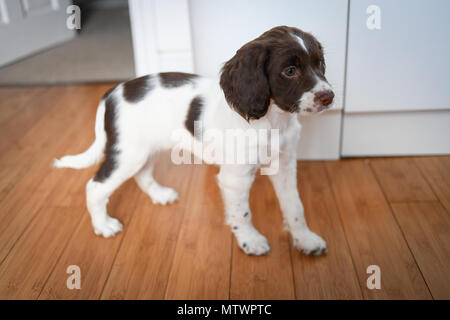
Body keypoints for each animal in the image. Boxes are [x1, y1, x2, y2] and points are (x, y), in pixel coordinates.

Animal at [53, 25, 334, 256]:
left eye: (320, 64)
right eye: (290, 71)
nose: (329, 97)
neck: (273, 120)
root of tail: (112, 92)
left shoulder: (285, 165)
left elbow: (295, 207)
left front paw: (305, 239)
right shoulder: (235, 177)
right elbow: (242, 213)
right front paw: (250, 241)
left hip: (144, 150)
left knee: (142, 175)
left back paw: (160, 194)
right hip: (127, 154)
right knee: (95, 186)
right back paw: (103, 225)